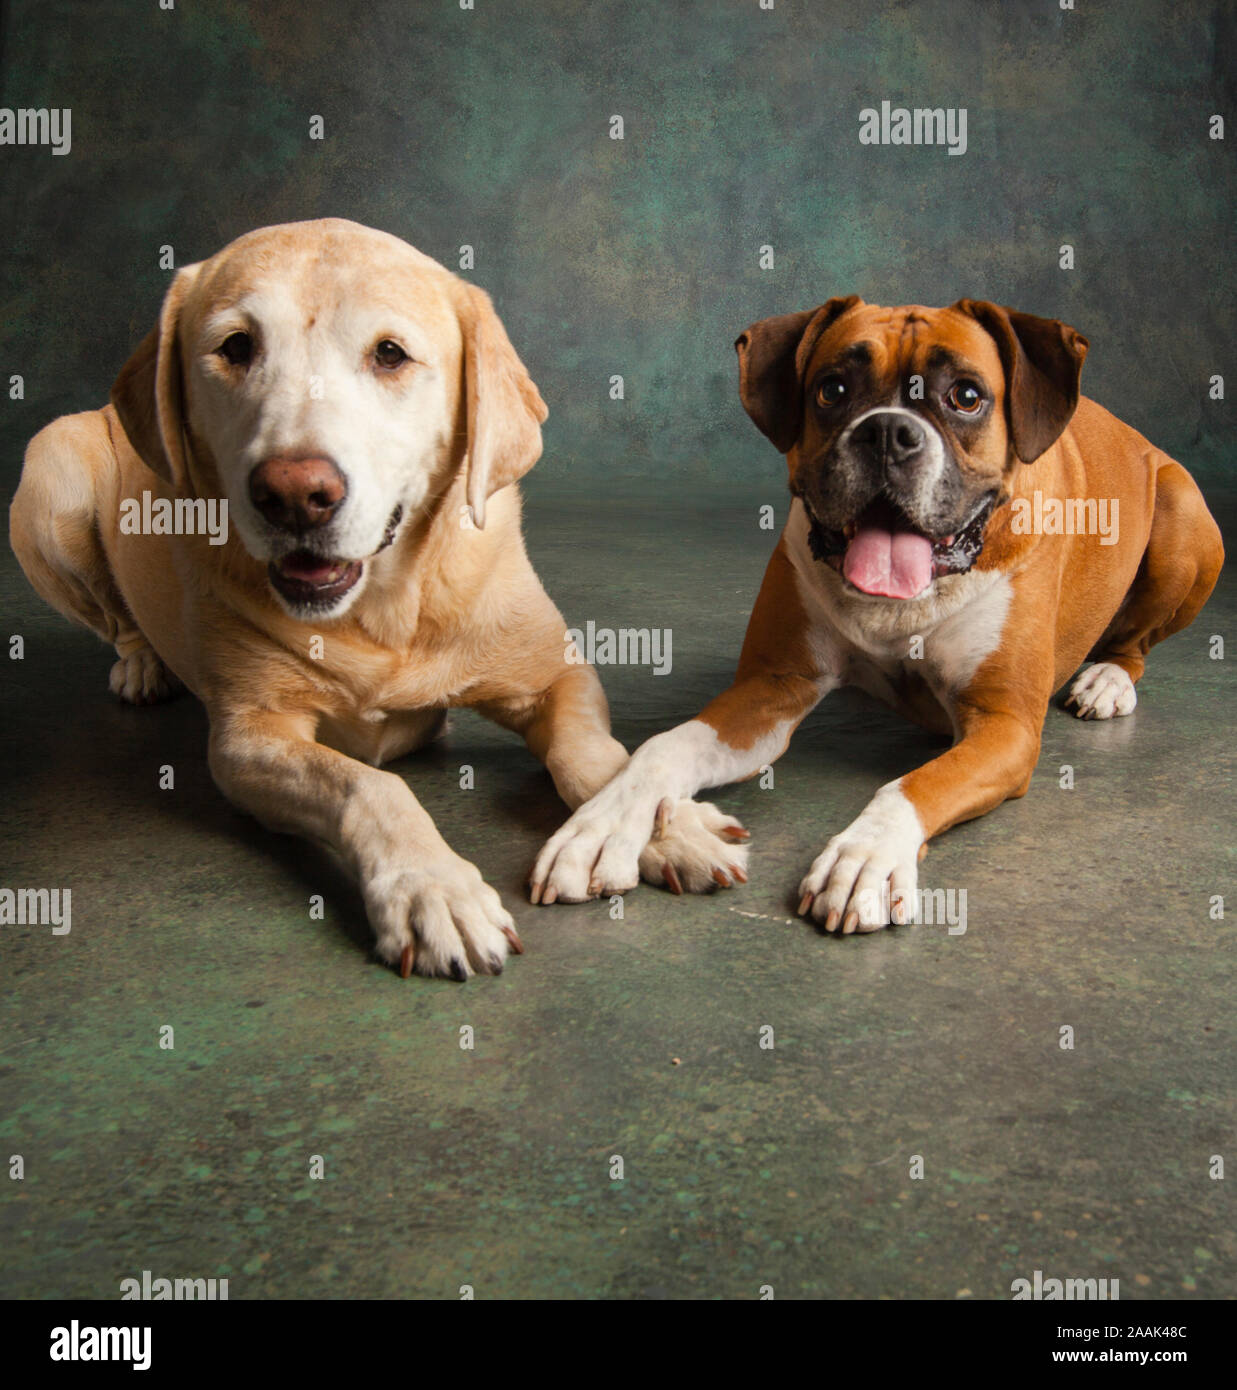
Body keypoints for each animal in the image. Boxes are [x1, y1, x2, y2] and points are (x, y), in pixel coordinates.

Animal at [12, 219, 744, 978]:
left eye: (389, 354)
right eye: (236, 347)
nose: (294, 494)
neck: (385, 614)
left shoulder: (555, 676)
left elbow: (592, 753)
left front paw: (654, 826)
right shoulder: (248, 739)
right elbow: (370, 785)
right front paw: (433, 888)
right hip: (49, 472)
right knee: (115, 617)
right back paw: (142, 663)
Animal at [530, 301, 1223, 934]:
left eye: (966, 396)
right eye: (832, 390)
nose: (888, 432)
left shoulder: (1004, 727)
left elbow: (917, 785)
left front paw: (865, 857)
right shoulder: (774, 688)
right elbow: (665, 746)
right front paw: (603, 826)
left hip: (1185, 518)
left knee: (1136, 643)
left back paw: (1106, 680)